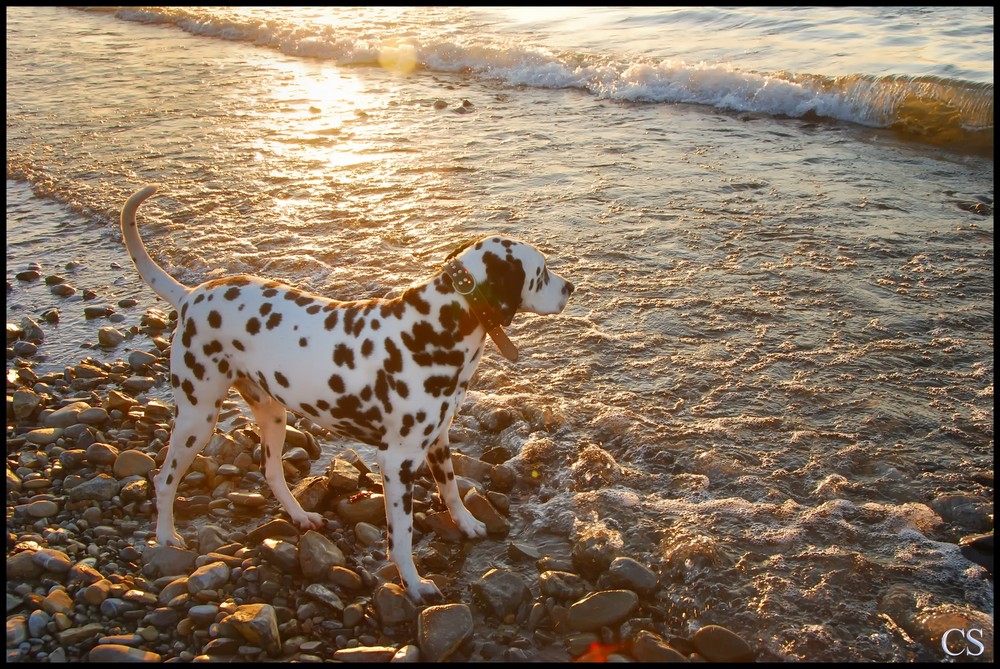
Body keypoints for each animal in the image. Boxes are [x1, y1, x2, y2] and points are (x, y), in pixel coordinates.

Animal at [121, 184, 576, 600]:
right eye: (541, 272)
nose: (571, 287)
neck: (434, 327)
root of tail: (191, 295)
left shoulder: (438, 442)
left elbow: (450, 490)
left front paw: (465, 523)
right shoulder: (396, 461)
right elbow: (402, 534)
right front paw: (413, 583)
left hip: (272, 414)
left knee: (271, 472)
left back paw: (301, 517)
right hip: (198, 418)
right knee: (164, 479)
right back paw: (166, 537)